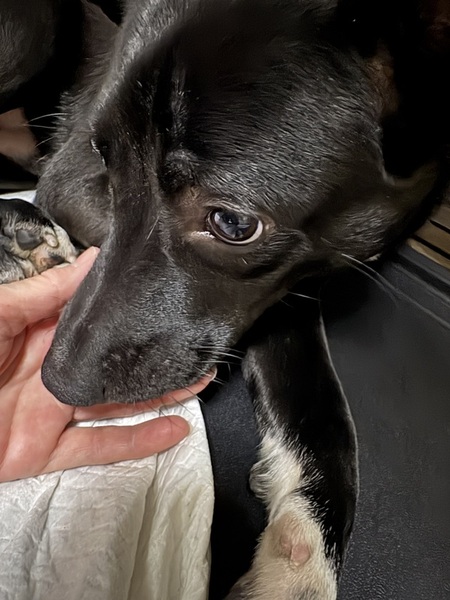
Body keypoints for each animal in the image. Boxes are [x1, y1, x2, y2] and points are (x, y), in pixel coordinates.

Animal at [0, 0, 449, 598]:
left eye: (234, 223)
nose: (57, 384)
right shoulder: (71, 177)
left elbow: (320, 406)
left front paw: (300, 556)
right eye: (103, 154)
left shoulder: (291, 276)